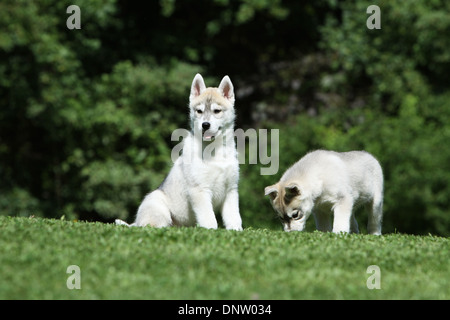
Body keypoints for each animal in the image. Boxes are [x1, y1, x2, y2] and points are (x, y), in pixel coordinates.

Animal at [116, 74, 243, 230]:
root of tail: (137, 221)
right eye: (199, 111)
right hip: (157, 204)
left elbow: (234, 216)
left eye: (217, 111)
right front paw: (211, 231)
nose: (205, 125)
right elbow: (209, 218)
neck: (215, 150)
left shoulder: (231, 190)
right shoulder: (199, 190)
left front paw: (236, 230)